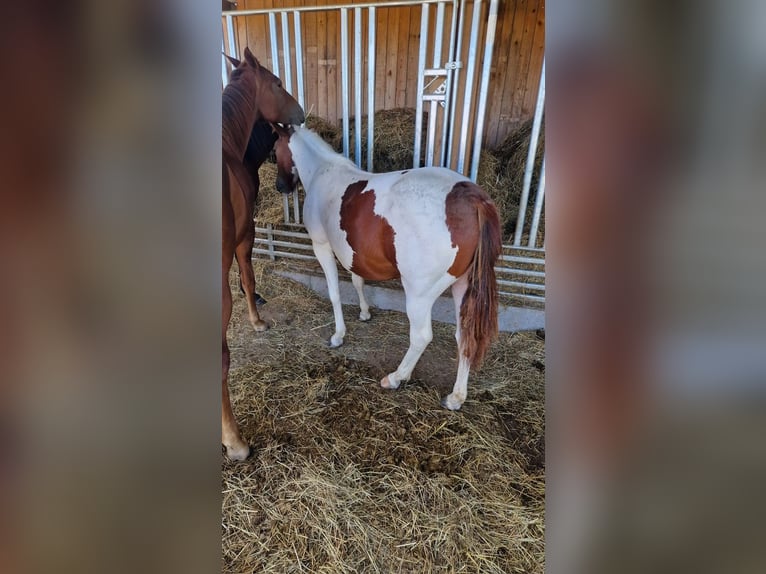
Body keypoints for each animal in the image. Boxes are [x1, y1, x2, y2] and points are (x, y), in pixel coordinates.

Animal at [276, 128, 504, 412]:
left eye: (274, 149)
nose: (280, 186)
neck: (323, 171)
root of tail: (473, 199)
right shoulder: (353, 253)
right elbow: (358, 281)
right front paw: (364, 313)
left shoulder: (322, 246)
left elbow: (335, 293)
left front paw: (338, 335)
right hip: (463, 286)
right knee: (465, 336)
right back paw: (456, 397)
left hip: (419, 294)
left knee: (421, 337)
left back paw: (396, 377)